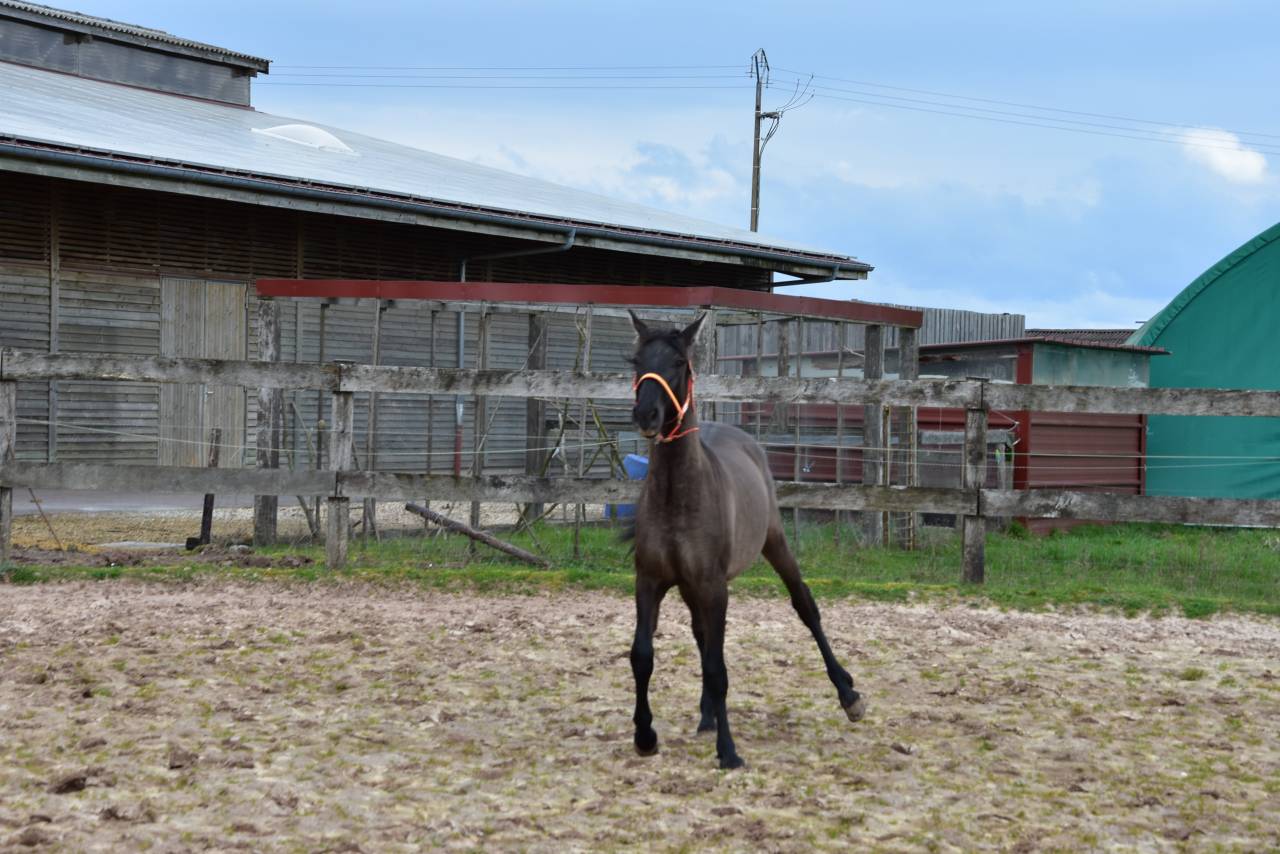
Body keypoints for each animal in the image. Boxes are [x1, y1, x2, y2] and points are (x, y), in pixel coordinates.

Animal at [626, 310, 866, 770]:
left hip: (774, 542)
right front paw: (645, 736)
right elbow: (643, 656)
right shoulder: (650, 581)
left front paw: (729, 751)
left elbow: (718, 669)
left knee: (805, 607)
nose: (646, 414)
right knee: (701, 636)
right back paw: (705, 716)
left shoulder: (713, 587)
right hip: (692, 587)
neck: (677, 497)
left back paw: (848, 695)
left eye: (679, 363)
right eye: (636, 362)